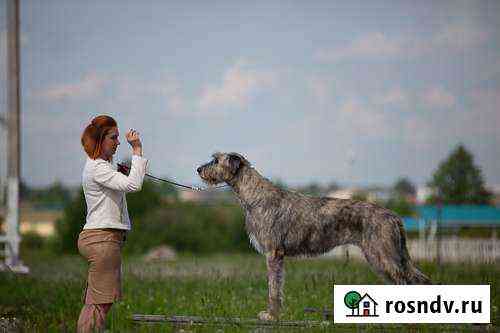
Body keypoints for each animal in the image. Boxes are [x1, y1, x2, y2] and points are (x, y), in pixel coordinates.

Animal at [195, 152, 430, 320]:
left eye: (216, 160)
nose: (198, 169)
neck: (255, 196)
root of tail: (394, 216)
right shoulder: (278, 256)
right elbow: (277, 287)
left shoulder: (273, 253)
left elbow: (273, 288)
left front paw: (270, 316)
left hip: (384, 255)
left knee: (408, 280)